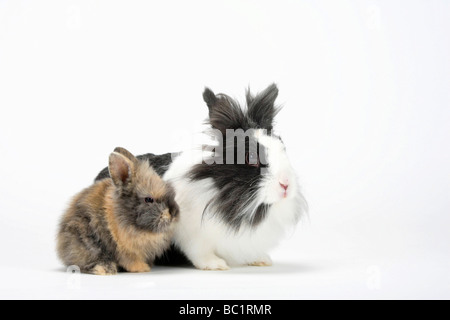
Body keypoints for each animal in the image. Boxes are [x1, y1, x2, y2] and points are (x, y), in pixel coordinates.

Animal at [57, 148, 179, 276]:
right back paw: (105, 269)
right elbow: (130, 260)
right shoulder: (125, 249)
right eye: (149, 199)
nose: (174, 213)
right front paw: (142, 268)